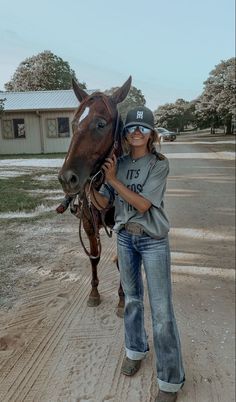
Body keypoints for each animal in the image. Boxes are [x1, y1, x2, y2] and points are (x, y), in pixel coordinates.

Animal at [58, 76, 132, 314]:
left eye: (101, 124)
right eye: (73, 123)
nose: (67, 178)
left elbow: (121, 261)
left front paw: (122, 299)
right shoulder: (89, 223)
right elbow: (94, 257)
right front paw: (94, 293)